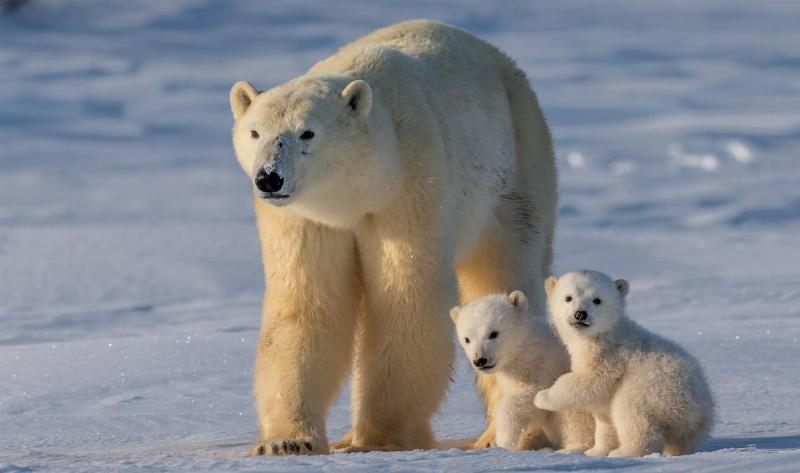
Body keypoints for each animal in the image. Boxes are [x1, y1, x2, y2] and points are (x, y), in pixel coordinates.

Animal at [229, 19, 557, 455]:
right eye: (254, 132)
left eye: (307, 133)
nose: (269, 178)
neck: (357, 192)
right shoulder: (306, 218)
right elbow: (306, 304)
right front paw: (287, 441)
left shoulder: (410, 185)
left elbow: (406, 299)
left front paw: (378, 439)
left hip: (514, 168)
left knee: (504, 270)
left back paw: (502, 435)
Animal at [450, 291, 594, 451]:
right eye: (467, 339)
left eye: (493, 333)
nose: (480, 360)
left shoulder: (544, 368)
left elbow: (532, 399)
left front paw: (505, 440)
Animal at [534, 270, 714, 457]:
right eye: (568, 297)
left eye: (597, 300)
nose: (580, 314)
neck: (602, 335)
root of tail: (699, 409)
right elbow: (605, 419)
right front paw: (596, 451)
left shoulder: (610, 357)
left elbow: (590, 382)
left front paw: (542, 397)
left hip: (653, 389)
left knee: (631, 412)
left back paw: (624, 451)